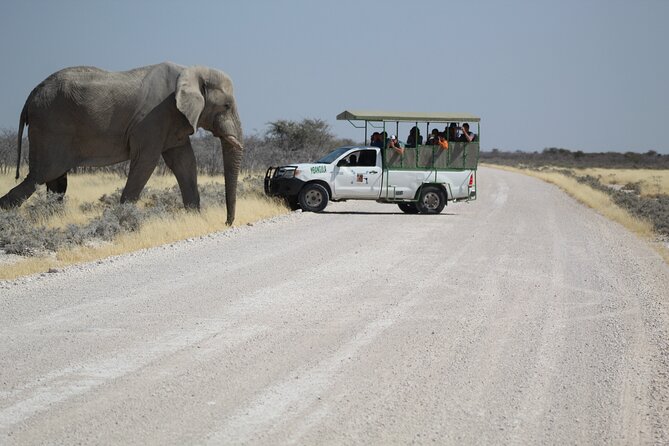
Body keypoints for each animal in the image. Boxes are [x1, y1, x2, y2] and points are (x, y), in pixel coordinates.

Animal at [0, 61, 244, 225]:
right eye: (226, 106)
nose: (226, 223)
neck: (189, 70)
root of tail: (30, 96)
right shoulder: (153, 119)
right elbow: (146, 162)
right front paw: (124, 219)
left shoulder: (175, 121)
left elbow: (185, 163)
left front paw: (195, 218)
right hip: (50, 127)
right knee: (40, 176)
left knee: (56, 182)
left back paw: (53, 219)